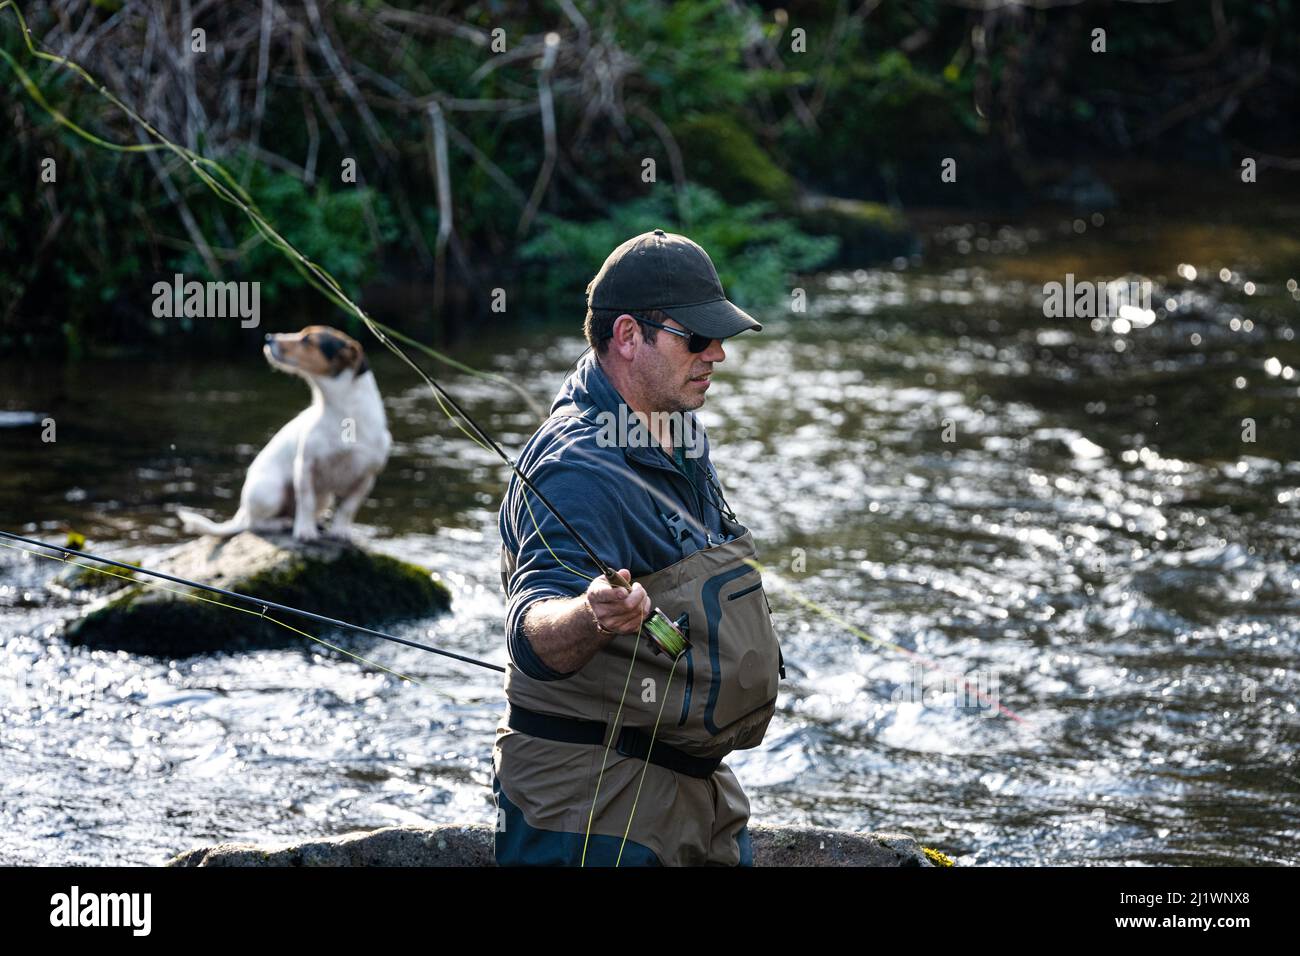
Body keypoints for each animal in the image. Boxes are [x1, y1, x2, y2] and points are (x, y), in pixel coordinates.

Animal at [178, 325, 390, 541]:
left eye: (308, 340)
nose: (268, 337)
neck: (344, 415)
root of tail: (242, 512)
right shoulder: (305, 466)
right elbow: (306, 502)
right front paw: (305, 531)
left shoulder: (367, 478)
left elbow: (348, 508)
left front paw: (340, 531)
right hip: (271, 492)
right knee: (255, 524)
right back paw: (282, 524)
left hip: (324, 497)